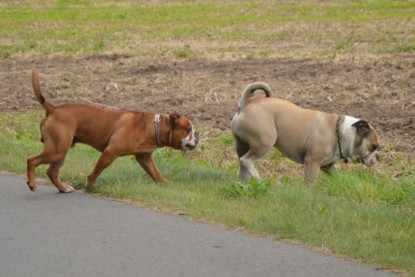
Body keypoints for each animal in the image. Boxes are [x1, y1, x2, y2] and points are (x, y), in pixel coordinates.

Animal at [27, 68, 200, 192]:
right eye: (188, 130)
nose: (197, 135)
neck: (154, 126)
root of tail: (54, 109)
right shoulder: (110, 153)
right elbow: (96, 172)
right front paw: (90, 186)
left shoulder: (144, 158)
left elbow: (156, 174)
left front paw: (168, 185)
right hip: (56, 150)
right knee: (32, 160)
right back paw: (32, 184)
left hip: (61, 151)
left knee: (52, 172)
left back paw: (63, 188)